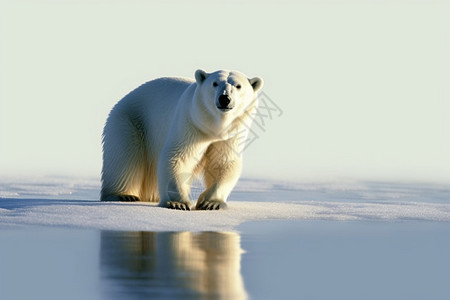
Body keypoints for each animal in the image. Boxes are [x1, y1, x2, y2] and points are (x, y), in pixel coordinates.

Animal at [101, 69, 264, 211]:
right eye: (215, 83)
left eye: (238, 86)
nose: (224, 98)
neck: (214, 128)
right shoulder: (189, 123)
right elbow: (178, 157)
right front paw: (177, 203)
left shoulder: (232, 134)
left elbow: (224, 162)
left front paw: (211, 203)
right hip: (130, 121)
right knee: (124, 156)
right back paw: (123, 195)